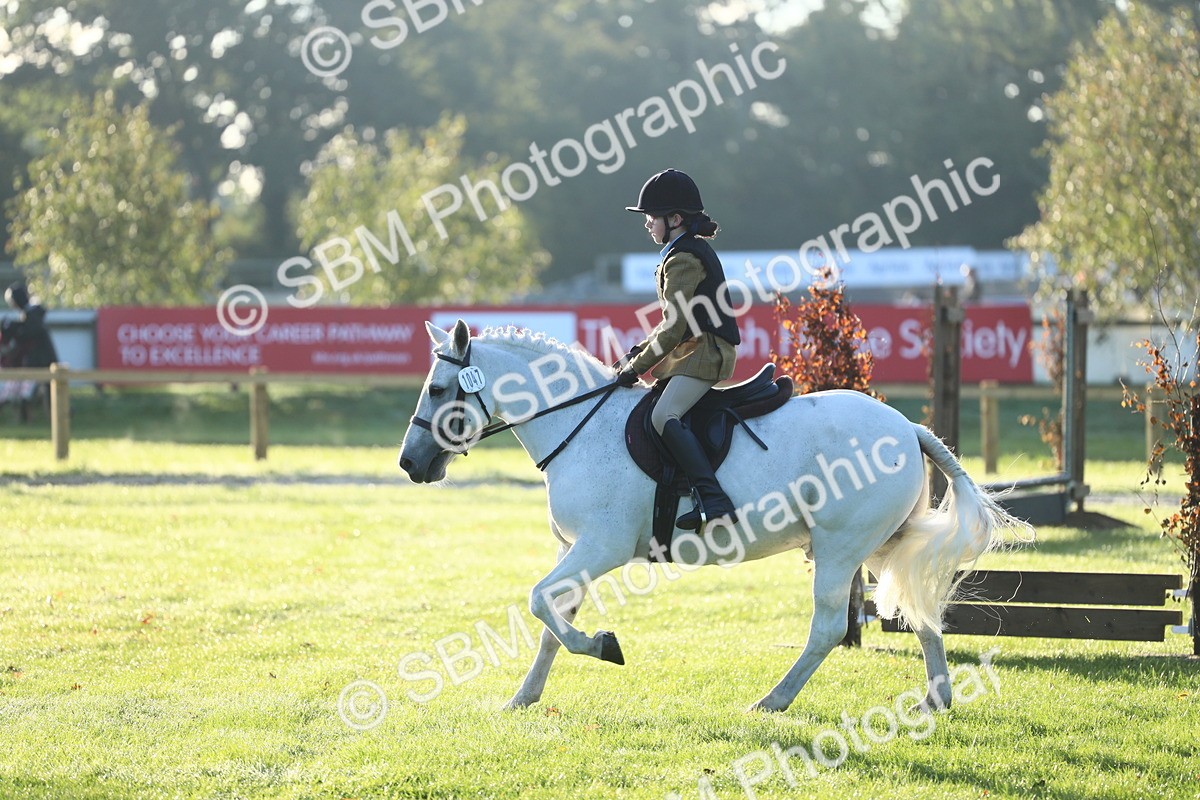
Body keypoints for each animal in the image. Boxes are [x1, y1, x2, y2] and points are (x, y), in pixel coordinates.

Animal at [398, 320, 1027, 713]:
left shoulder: (600, 547)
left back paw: (773, 701)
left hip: (840, 547)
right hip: (881, 545)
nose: (409, 464)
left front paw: (604, 646)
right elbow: (552, 620)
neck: (578, 423)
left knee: (828, 627)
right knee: (923, 613)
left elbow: (538, 603)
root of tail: (906, 426)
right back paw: (936, 699)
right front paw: (525, 697)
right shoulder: (573, 550)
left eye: (439, 388)